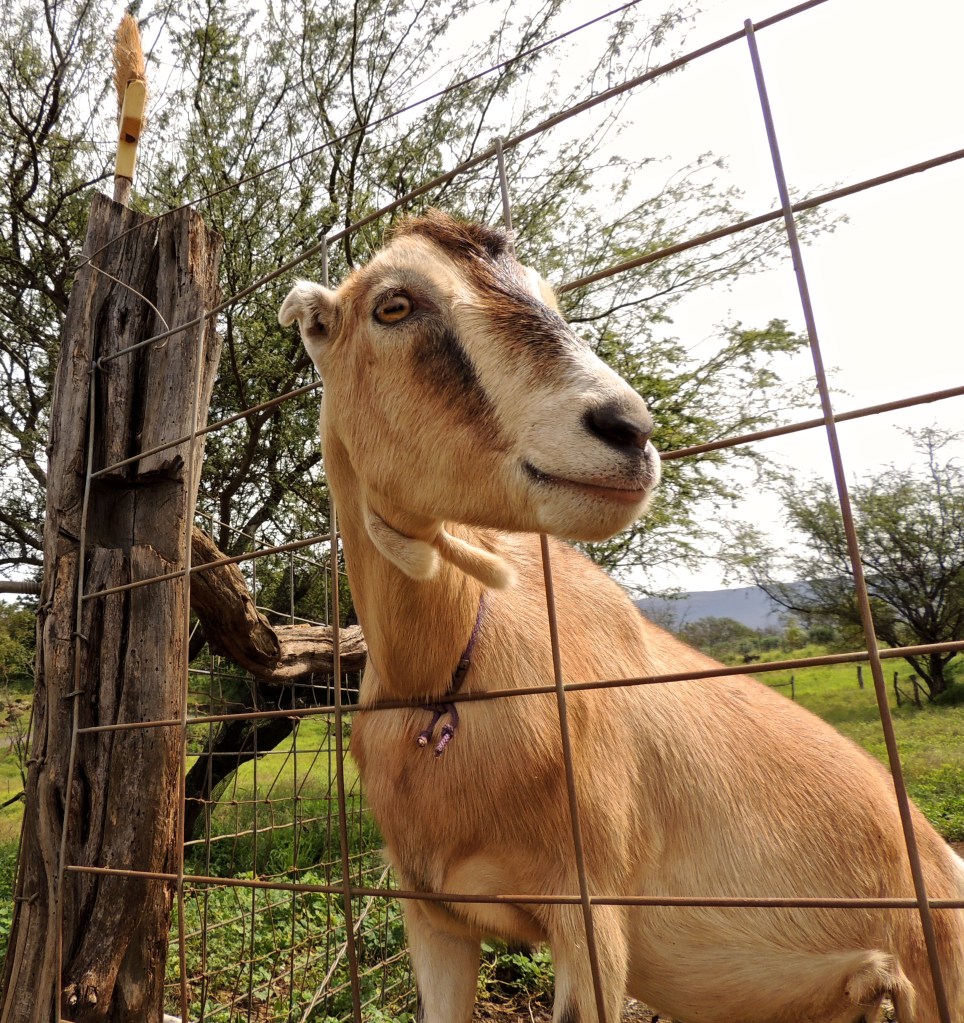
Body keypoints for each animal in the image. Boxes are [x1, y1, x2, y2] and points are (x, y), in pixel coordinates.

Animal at [279, 211, 964, 1023]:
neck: (443, 683)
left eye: (548, 296)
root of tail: (942, 861)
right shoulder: (434, 916)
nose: (629, 429)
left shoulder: (592, 918)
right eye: (394, 304)